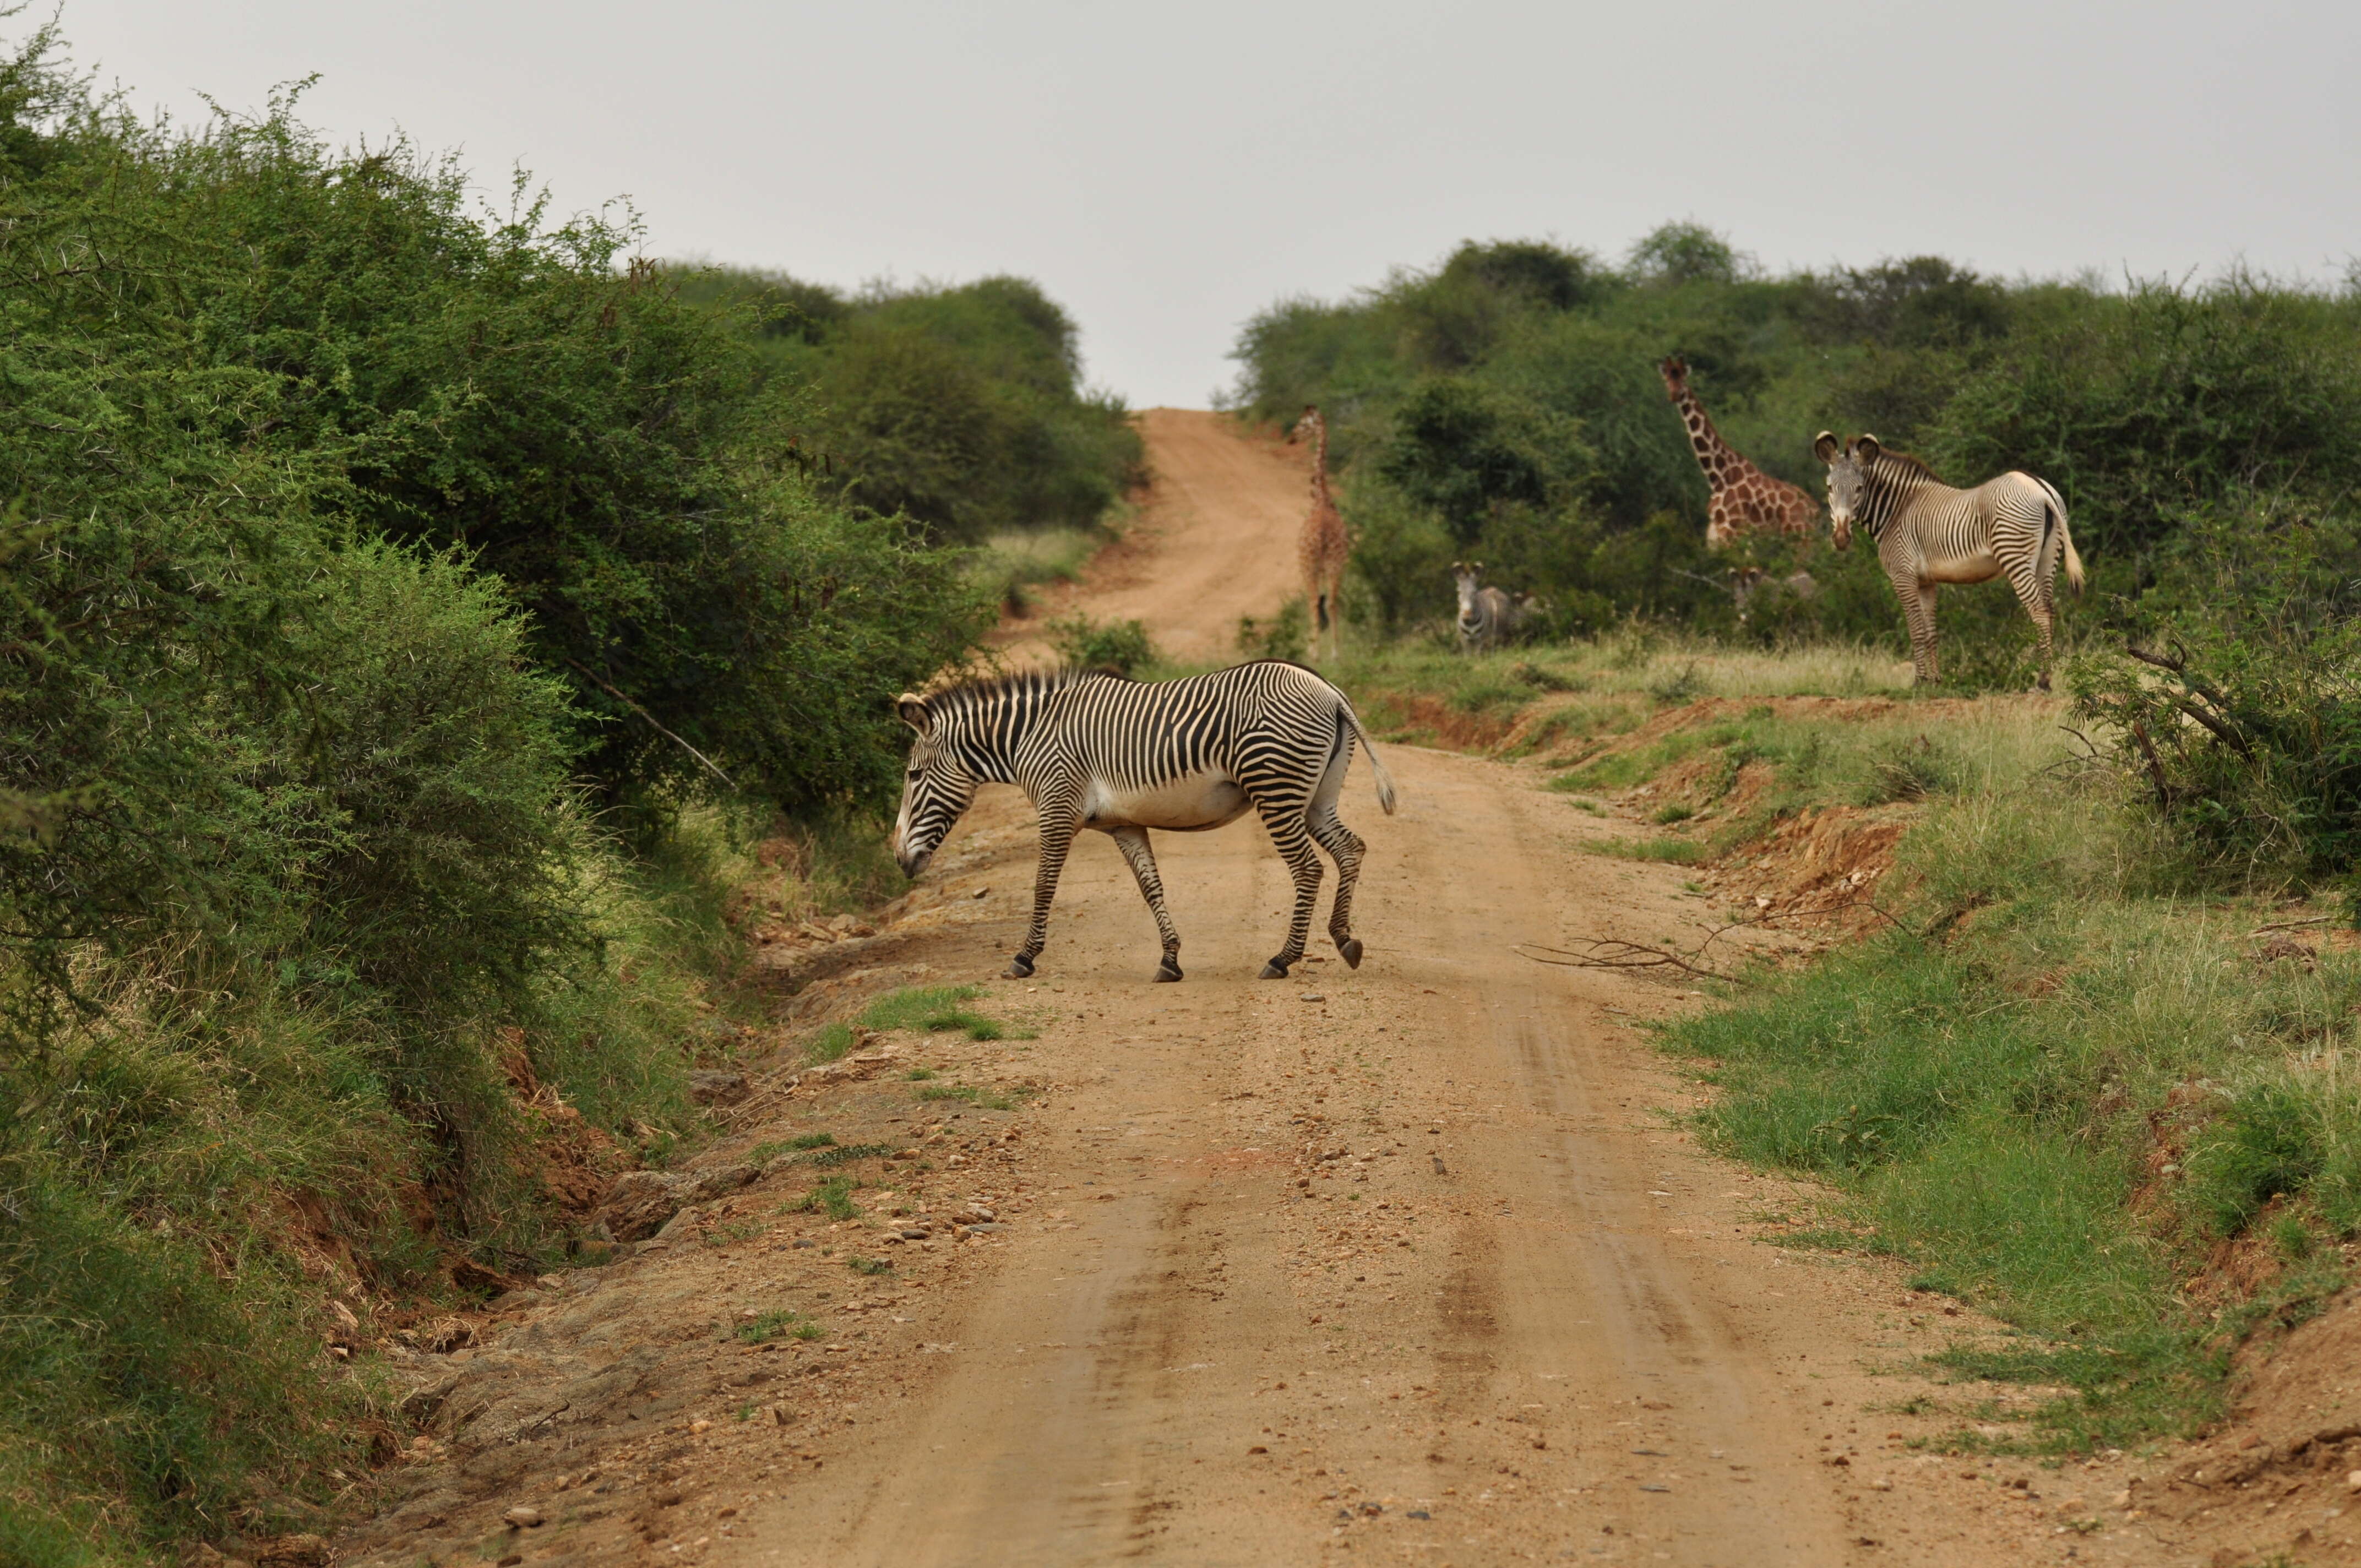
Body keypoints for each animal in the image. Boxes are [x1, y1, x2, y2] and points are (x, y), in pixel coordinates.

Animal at [892, 661, 1388, 982]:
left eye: (913, 775)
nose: (899, 861)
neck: (1029, 736)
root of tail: (1327, 689)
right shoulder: (1123, 824)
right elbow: (1151, 887)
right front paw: (1170, 960)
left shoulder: (1057, 808)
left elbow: (1043, 885)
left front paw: (1024, 957)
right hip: (1316, 798)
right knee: (1351, 849)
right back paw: (1345, 940)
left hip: (1276, 789)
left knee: (1308, 869)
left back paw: (1283, 959)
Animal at [1445, 567, 1539, 651]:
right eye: (1458, 592)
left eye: (1475, 592)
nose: (1467, 616)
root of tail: (1493, 588)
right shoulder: (1465, 641)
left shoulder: (1481, 640)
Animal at [1804, 437, 2087, 689]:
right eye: (1830, 488)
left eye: (1860, 489)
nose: (1841, 539)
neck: (1898, 511)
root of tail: (2039, 488)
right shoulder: (1926, 582)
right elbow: (1931, 632)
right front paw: (1936, 681)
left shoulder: (1903, 576)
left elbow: (1916, 630)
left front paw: (1919, 682)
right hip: (2048, 558)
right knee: (2049, 609)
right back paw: (2045, 675)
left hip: (2014, 554)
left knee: (2039, 611)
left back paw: (2043, 681)